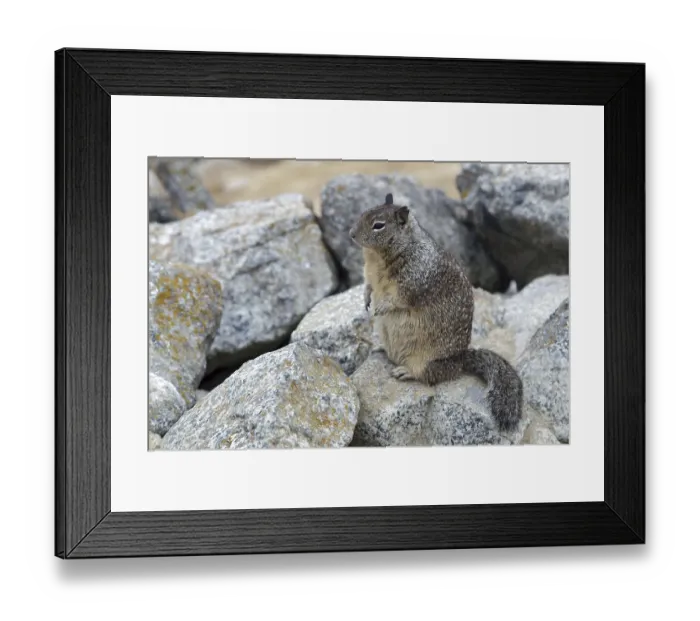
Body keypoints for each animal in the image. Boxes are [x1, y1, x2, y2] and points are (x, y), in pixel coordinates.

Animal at [349, 193, 523, 432]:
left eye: (378, 225)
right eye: (364, 212)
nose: (351, 234)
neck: (377, 256)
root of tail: (460, 360)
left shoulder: (415, 278)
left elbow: (399, 298)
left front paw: (382, 306)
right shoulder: (369, 272)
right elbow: (367, 285)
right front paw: (366, 299)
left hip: (427, 360)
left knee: (430, 375)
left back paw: (405, 371)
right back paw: (379, 347)